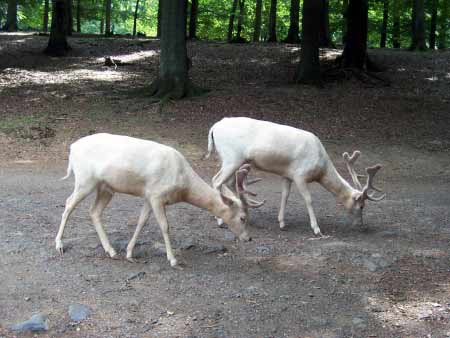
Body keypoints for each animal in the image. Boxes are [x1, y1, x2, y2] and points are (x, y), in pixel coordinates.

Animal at [206, 117, 384, 235]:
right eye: (361, 206)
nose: (361, 226)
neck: (320, 169)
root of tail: (214, 127)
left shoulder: (288, 175)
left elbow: (285, 195)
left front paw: (282, 223)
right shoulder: (300, 175)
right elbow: (309, 199)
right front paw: (316, 229)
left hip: (230, 160)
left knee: (228, 183)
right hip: (232, 158)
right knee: (216, 180)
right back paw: (219, 220)